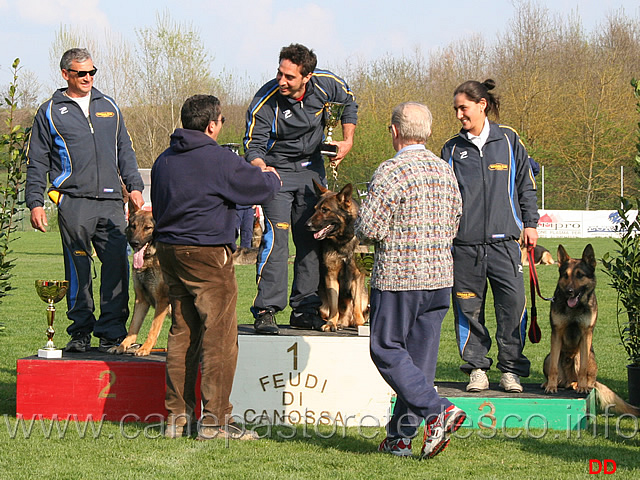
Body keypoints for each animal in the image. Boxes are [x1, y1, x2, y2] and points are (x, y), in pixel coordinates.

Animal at [111, 201, 170, 354]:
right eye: (133, 226)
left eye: (148, 228)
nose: (134, 243)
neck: (150, 258)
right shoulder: (141, 300)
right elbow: (133, 327)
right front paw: (122, 346)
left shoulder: (162, 301)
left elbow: (153, 329)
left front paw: (145, 348)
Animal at [306, 182, 368, 332]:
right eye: (315, 209)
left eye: (325, 210)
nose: (306, 225)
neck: (343, 240)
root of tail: (345, 322)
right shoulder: (331, 275)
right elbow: (334, 303)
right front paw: (330, 323)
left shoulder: (357, 275)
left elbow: (356, 303)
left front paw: (359, 324)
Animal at [544, 246, 636, 414]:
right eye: (565, 275)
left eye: (580, 275)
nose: (569, 291)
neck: (575, 308)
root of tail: (567, 380)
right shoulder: (557, 333)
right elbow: (553, 368)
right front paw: (551, 386)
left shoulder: (586, 334)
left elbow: (583, 369)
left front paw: (582, 387)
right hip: (548, 357)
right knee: (559, 375)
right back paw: (551, 383)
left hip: (579, 356)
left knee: (587, 379)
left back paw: (579, 385)